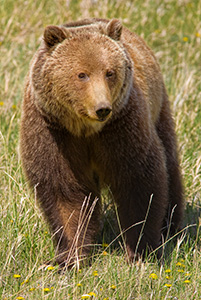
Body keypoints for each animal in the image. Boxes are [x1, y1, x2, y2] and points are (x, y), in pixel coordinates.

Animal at [20, 18, 184, 268]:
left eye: (110, 72)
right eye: (81, 74)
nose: (102, 108)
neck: (86, 130)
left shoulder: (122, 130)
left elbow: (139, 183)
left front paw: (140, 251)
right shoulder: (53, 133)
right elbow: (65, 193)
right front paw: (69, 258)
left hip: (158, 110)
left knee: (169, 163)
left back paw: (171, 226)